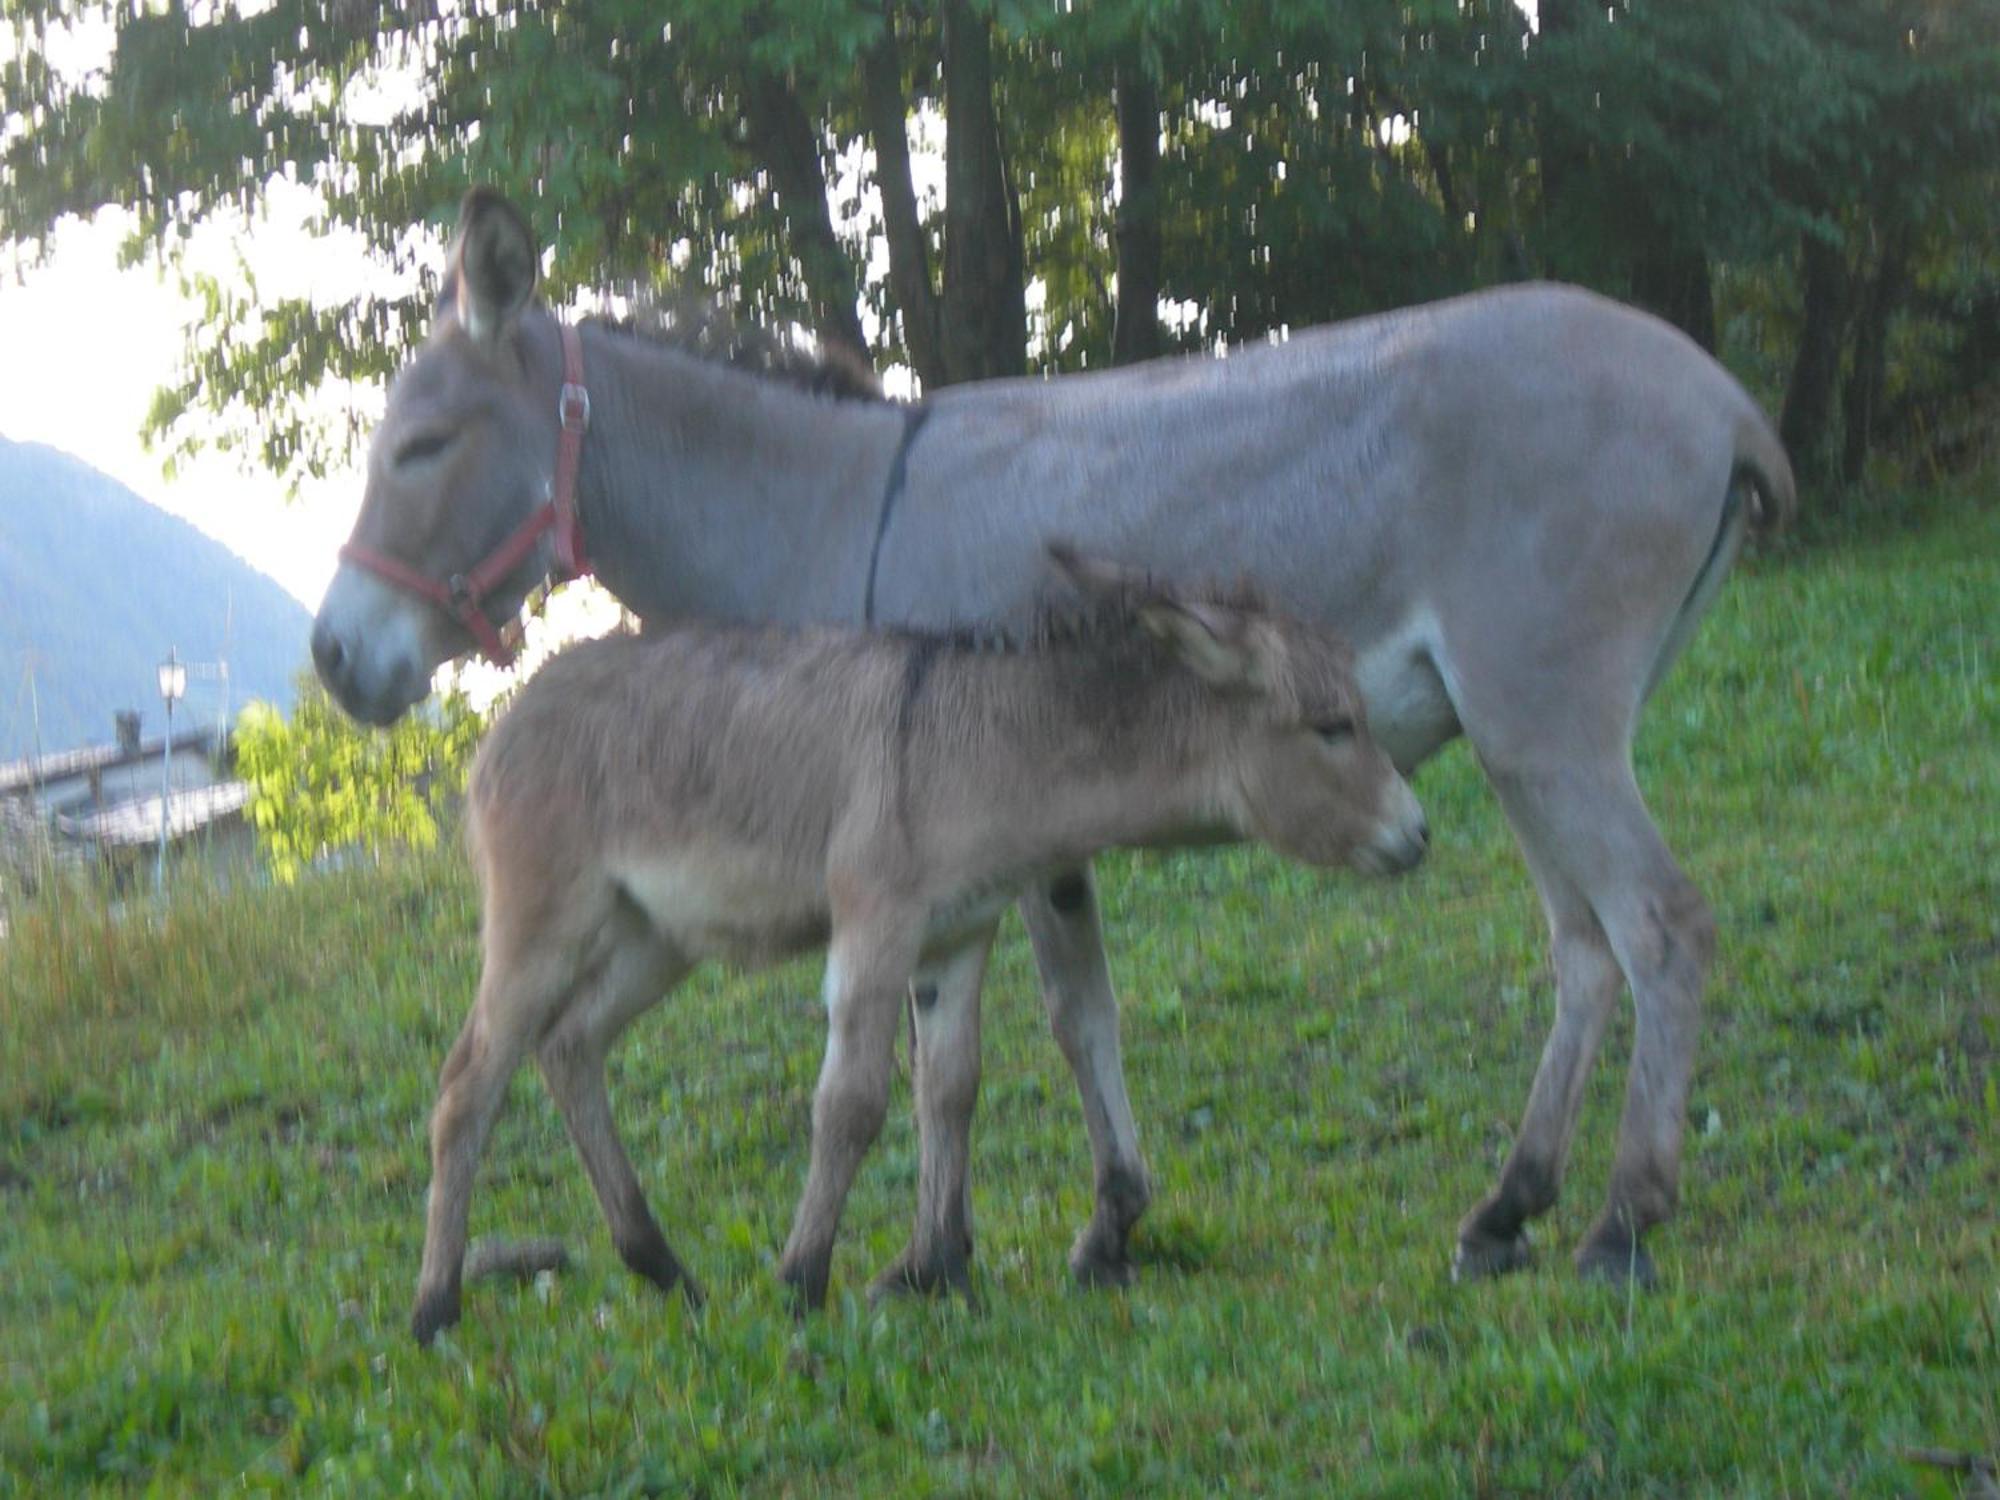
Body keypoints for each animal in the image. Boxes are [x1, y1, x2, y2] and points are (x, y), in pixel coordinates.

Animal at [414, 548, 1432, 1344]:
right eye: (1333, 727)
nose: (1418, 835)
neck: (983, 744)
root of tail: (505, 721)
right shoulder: (875, 923)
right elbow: (853, 1102)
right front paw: (802, 1279)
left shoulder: (958, 935)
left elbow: (951, 1085)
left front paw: (937, 1272)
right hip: (543, 925)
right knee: (469, 1084)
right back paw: (435, 1311)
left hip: (653, 937)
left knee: (569, 1046)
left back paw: (662, 1267)